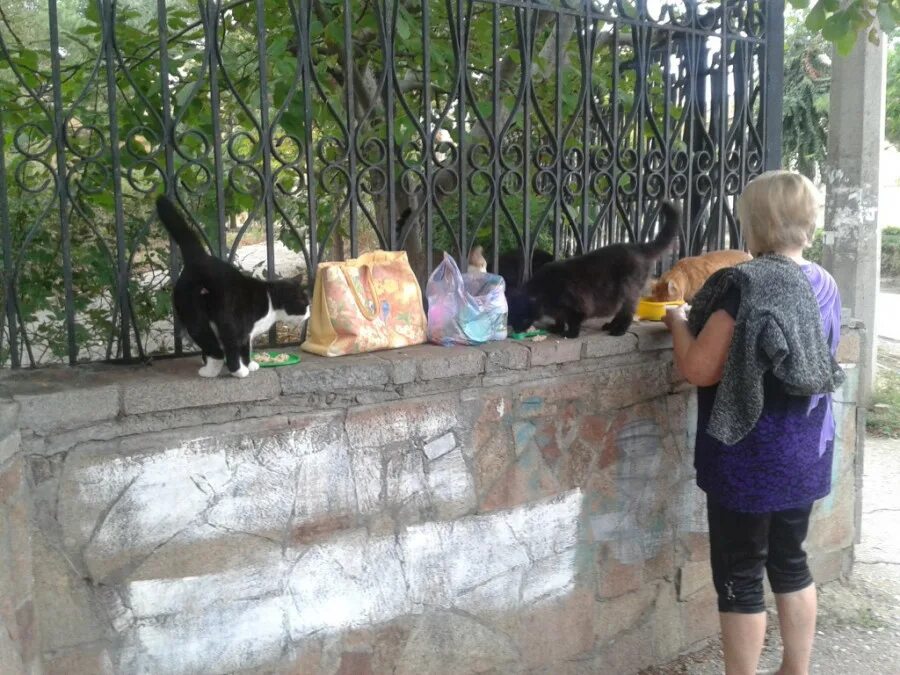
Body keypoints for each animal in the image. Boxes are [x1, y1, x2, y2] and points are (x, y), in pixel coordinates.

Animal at [155, 197, 310, 380]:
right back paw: (217, 370)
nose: (309, 314)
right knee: (216, 346)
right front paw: (241, 369)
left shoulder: (246, 334)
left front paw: (249, 364)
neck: (270, 300)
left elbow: (245, 349)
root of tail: (198, 258)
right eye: (305, 304)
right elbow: (237, 348)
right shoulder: (237, 326)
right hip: (203, 315)